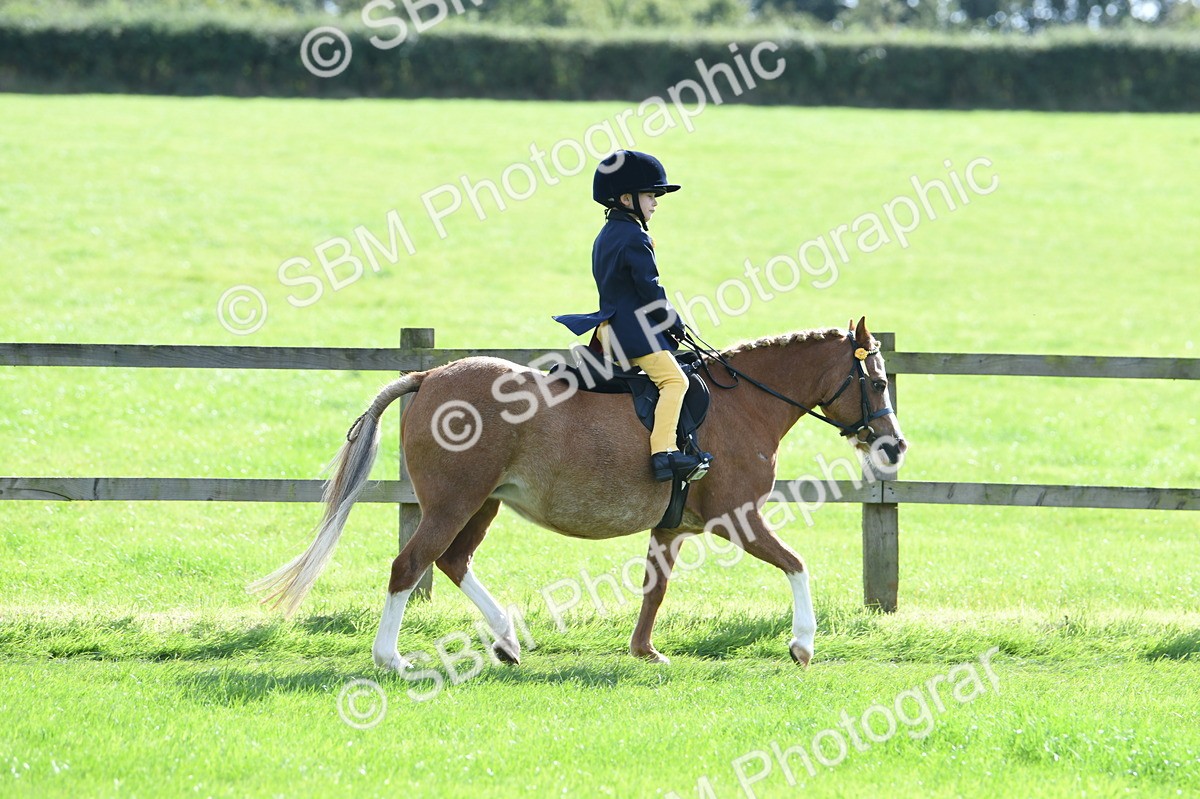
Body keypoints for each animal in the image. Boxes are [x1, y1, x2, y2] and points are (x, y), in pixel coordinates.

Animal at [249, 317, 907, 669]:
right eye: (876, 382)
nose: (894, 448)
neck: (743, 404)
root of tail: (430, 373)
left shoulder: (673, 524)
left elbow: (655, 587)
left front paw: (644, 651)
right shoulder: (737, 516)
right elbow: (796, 564)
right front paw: (802, 645)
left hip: (482, 503)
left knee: (452, 561)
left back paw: (507, 641)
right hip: (455, 502)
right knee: (410, 565)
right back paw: (392, 659)